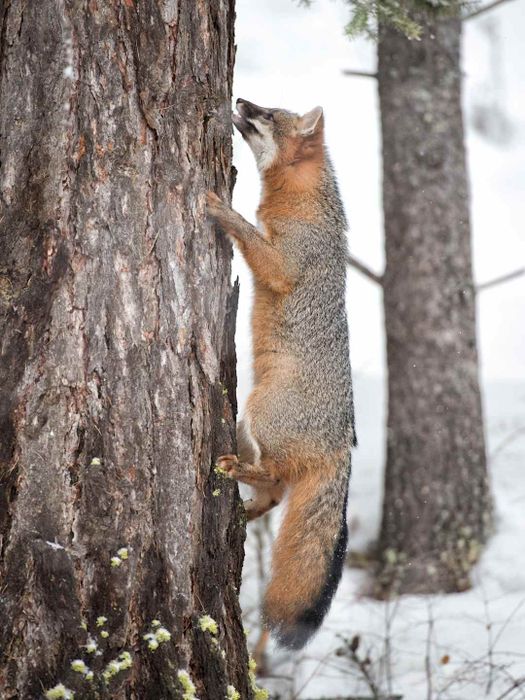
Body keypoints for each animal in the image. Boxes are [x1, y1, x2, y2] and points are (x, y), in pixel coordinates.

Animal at [207, 98, 355, 650]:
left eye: (269, 114)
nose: (240, 100)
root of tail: (342, 441)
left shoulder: (280, 262)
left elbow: (249, 235)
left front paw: (223, 211)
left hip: (258, 415)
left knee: (273, 478)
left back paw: (236, 476)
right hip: (247, 425)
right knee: (273, 496)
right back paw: (242, 513)